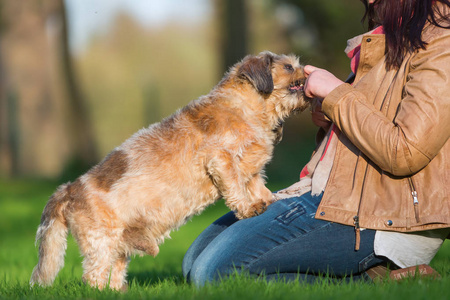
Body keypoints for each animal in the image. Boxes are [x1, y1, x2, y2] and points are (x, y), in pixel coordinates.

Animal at [29, 51, 308, 290]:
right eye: (289, 66)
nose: (308, 73)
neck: (247, 108)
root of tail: (69, 189)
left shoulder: (250, 168)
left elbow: (256, 186)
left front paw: (268, 200)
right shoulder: (222, 160)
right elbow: (237, 188)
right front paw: (250, 209)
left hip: (119, 247)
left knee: (114, 274)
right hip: (101, 243)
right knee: (93, 276)